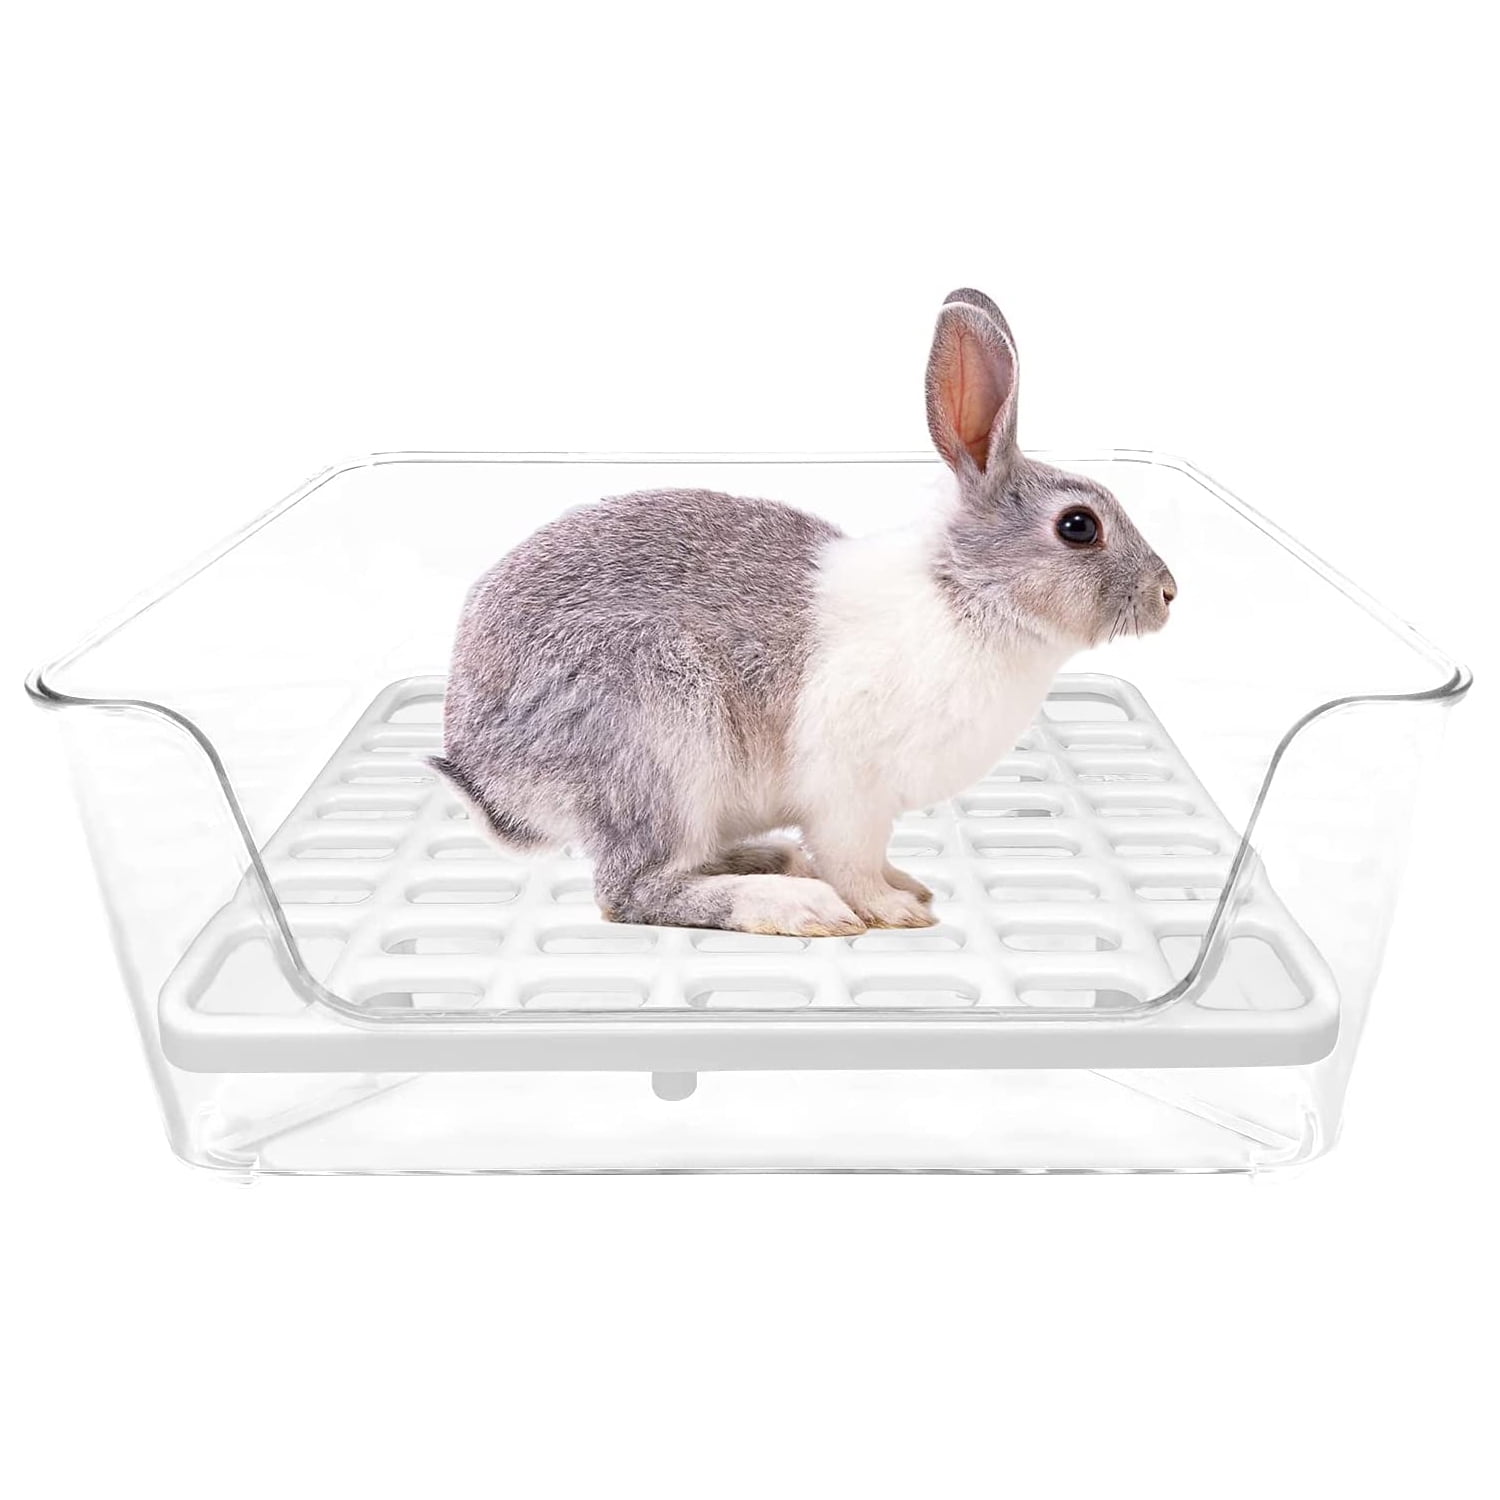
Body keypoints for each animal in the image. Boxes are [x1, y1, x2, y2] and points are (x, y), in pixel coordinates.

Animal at [435, 288, 1177, 937]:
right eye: (1079, 526)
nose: (1169, 593)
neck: (965, 593)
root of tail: (485, 771)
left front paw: (909, 885)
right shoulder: (849, 796)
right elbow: (853, 863)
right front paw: (893, 909)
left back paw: (777, 862)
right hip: (658, 739)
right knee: (633, 890)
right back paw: (792, 905)